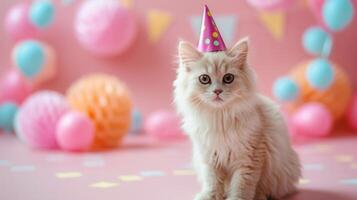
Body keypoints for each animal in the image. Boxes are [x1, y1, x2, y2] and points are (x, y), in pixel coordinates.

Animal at [174, 38, 298, 200]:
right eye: (204, 79)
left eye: (228, 78)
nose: (217, 91)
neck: (220, 118)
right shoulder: (209, 158)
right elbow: (212, 183)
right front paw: (209, 196)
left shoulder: (249, 158)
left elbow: (242, 187)